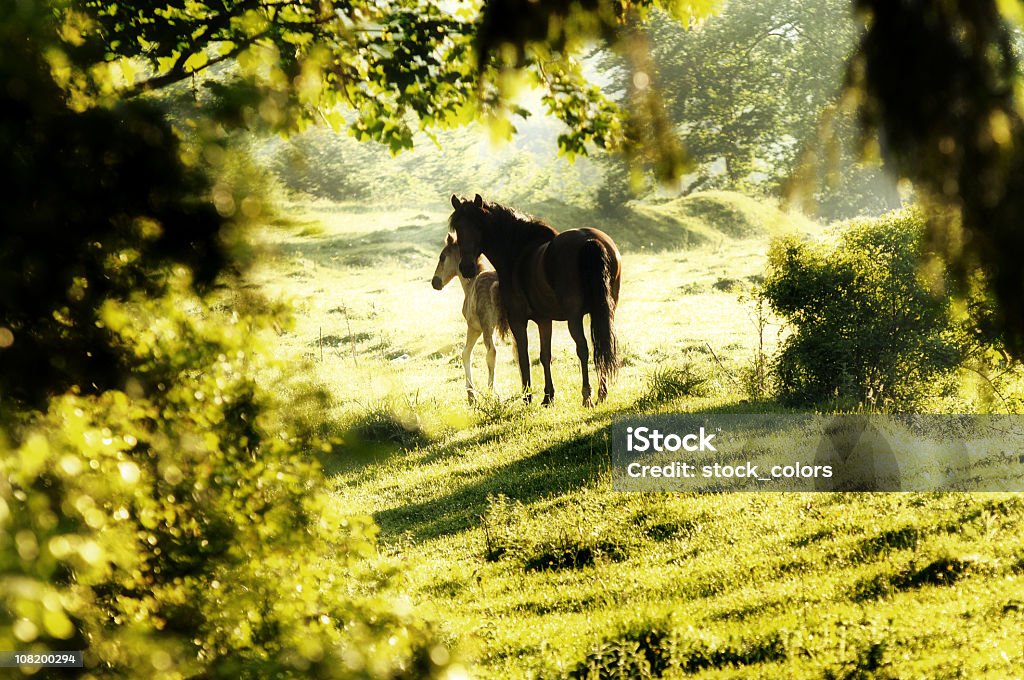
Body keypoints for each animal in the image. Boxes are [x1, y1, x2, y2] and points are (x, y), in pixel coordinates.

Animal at [432, 233, 507, 403]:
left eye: (442, 257)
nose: (435, 282)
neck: (470, 284)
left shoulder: (474, 327)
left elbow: (466, 353)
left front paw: (471, 394)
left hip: (487, 326)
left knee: (492, 353)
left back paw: (491, 392)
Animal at [450, 192, 622, 403]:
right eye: (457, 228)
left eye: (478, 226)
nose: (466, 268)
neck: (517, 254)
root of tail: (589, 240)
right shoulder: (544, 320)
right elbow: (544, 355)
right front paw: (548, 397)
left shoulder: (517, 320)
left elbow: (523, 356)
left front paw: (527, 397)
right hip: (604, 311)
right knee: (602, 345)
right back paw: (602, 393)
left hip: (574, 317)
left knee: (583, 348)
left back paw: (586, 396)